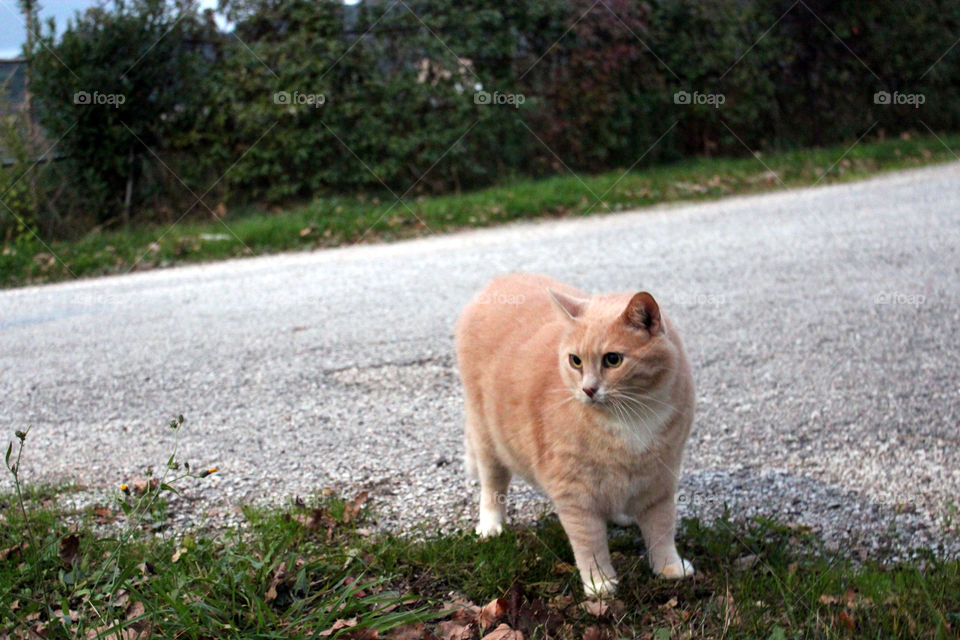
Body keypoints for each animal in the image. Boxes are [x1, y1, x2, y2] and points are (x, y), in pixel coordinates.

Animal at [454, 272, 692, 596]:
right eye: (575, 361)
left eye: (613, 360)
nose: (588, 390)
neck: (630, 417)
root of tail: (501, 279)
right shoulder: (574, 491)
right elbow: (589, 541)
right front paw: (599, 582)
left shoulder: (660, 479)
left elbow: (662, 528)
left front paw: (669, 567)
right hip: (488, 439)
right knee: (493, 486)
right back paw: (491, 526)